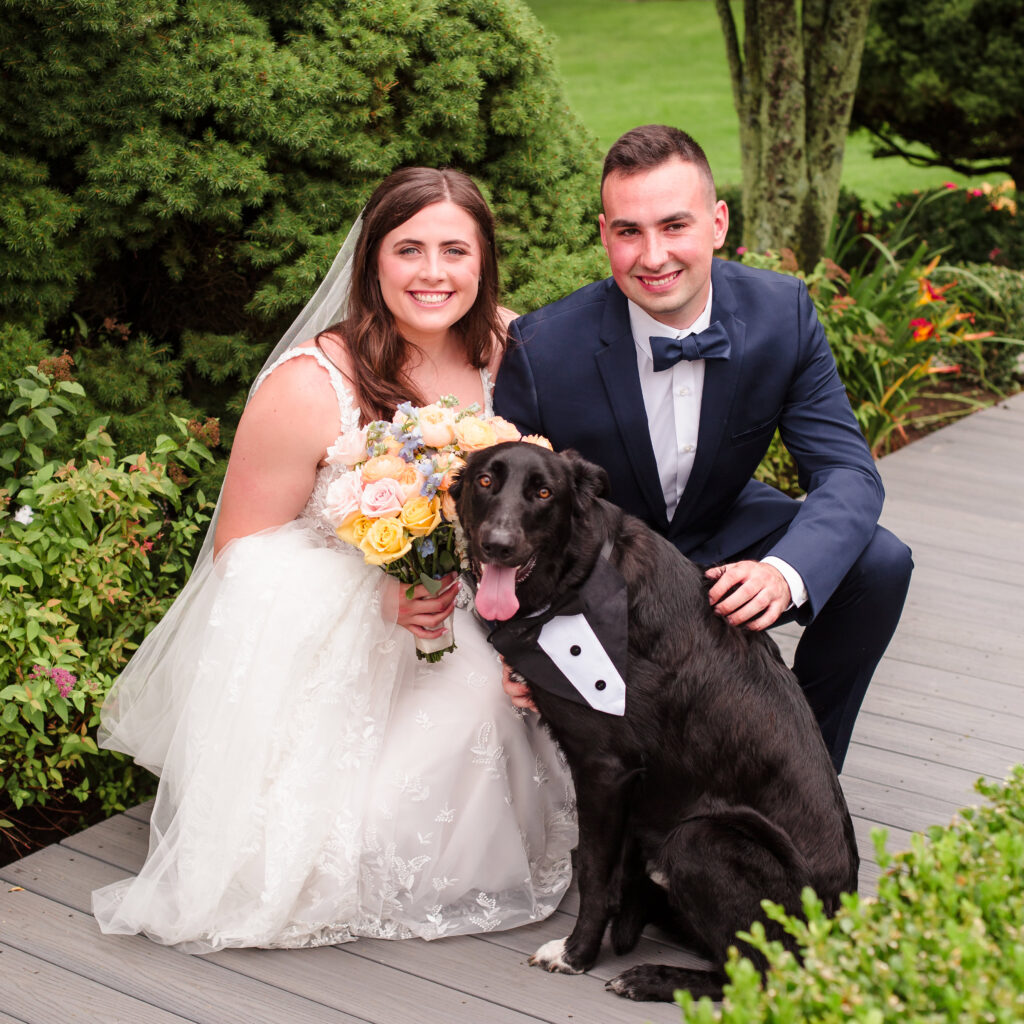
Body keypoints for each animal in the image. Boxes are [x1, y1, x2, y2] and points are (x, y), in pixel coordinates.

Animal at [452, 444, 860, 1003]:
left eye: (544, 493)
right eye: (486, 481)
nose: (498, 545)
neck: (579, 580)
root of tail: (838, 935)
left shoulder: (605, 770)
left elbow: (596, 875)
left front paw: (577, 954)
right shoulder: (630, 787)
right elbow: (613, 872)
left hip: (700, 839)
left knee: (756, 975)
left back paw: (650, 977)